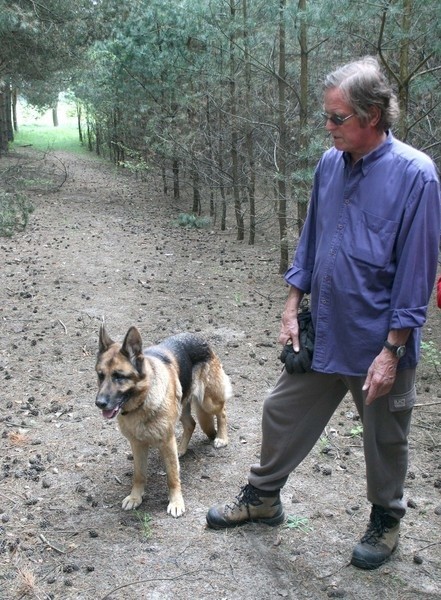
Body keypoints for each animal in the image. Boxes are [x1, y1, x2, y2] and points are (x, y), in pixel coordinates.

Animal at [94, 326, 232, 516]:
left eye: (119, 376)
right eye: (100, 376)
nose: (99, 403)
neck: (142, 401)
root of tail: (198, 338)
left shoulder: (166, 441)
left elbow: (173, 476)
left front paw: (176, 502)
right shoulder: (137, 444)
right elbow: (139, 475)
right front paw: (135, 497)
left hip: (208, 401)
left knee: (222, 411)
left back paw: (221, 438)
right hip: (182, 406)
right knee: (191, 424)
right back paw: (181, 448)